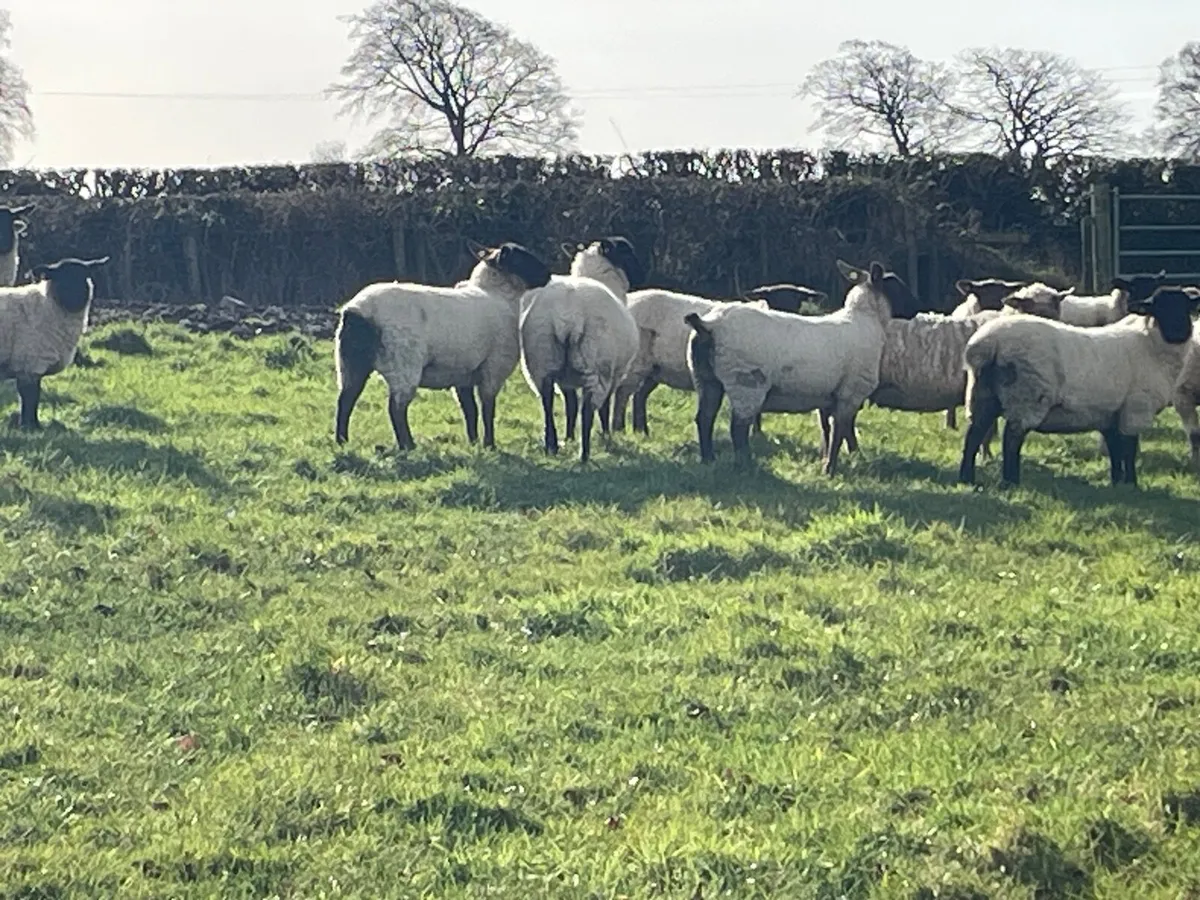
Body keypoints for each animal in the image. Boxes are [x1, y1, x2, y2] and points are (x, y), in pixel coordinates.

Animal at [0, 256, 110, 429]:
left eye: (83, 276)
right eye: (60, 277)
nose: (75, 297)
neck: (47, 304)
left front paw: (32, 425)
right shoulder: (30, 363)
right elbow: (30, 397)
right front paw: (30, 427)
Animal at [334, 241, 551, 452]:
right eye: (521, 258)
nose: (548, 274)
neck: (498, 296)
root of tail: (358, 311)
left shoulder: (463, 373)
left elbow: (470, 409)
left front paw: (473, 443)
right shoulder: (493, 367)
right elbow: (487, 408)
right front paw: (489, 445)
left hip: (350, 363)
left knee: (346, 400)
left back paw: (342, 441)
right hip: (403, 365)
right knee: (395, 408)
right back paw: (408, 446)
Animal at [519, 237, 643, 462]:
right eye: (627, 252)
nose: (642, 275)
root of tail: (569, 316)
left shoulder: (565, 378)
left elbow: (570, 406)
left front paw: (568, 438)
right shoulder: (614, 374)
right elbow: (602, 408)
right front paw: (605, 436)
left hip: (542, 360)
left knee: (547, 403)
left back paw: (551, 445)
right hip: (595, 366)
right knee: (588, 411)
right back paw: (584, 454)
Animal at [685, 259, 920, 474]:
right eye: (896, 284)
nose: (916, 310)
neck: (867, 321)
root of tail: (708, 325)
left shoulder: (828, 395)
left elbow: (828, 431)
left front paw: (827, 462)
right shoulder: (850, 392)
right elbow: (839, 431)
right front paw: (829, 469)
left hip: (706, 378)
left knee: (704, 419)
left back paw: (708, 461)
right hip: (746, 382)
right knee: (738, 429)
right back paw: (746, 467)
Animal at [958, 286, 1200, 488]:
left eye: (1185, 307)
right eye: (1160, 308)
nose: (1180, 332)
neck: (1149, 345)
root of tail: (987, 344)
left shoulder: (1109, 413)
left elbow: (1115, 449)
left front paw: (1117, 483)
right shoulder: (1136, 407)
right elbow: (1129, 450)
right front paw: (1132, 484)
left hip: (982, 394)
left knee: (974, 434)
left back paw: (966, 479)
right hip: (1026, 395)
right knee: (1011, 439)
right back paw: (1010, 481)